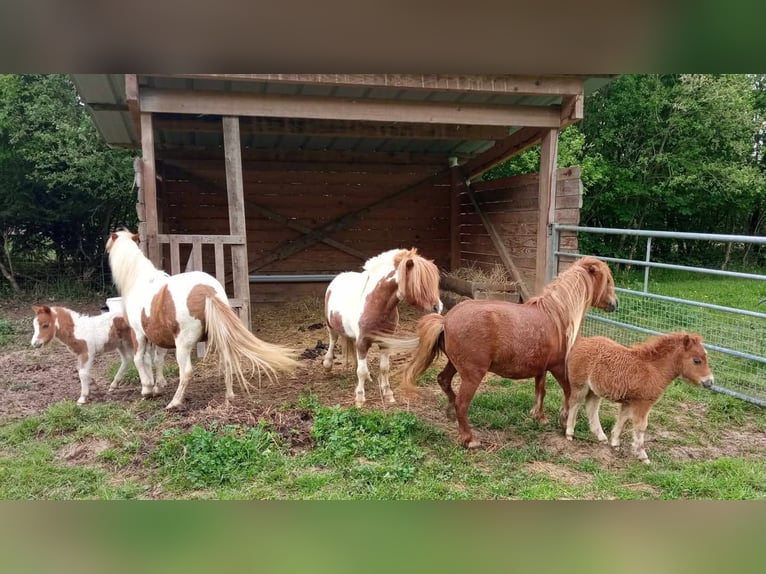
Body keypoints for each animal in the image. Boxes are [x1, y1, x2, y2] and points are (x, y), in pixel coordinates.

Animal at [30, 305, 167, 404]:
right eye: (34, 325)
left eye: (45, 325)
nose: (34, 343)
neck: (77, 330)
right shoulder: (80, 355)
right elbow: (81, 371)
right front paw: (93, 385)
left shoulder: (87, 352)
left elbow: (82, 373)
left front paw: (82, 398)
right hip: (123, 344)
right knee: (131, 359)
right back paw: (115, 385)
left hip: (135, 341)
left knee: (143, 359)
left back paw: (149, 387)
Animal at [106, 229, 298, 409]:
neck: (140, 281)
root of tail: (207, 291)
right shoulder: (158, 336)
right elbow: (157, 360)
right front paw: (158, 387)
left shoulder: (138, 334)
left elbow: (139, 359)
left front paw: (147, 390)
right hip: (219, 339)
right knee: (227, 363)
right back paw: (229, 396)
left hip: (183, 345)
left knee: (186, 372)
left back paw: (175, 402)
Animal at [323, 247, 442, 407]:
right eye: (420, 283)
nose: (438, 307)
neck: (376, 304)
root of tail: (339, 276)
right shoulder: (363, 341)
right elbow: (361, 371)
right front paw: (360, 398)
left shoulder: (386, 342)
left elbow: (384, 368)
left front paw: (388, 394)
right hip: (330, 324)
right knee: (333, 339)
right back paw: (328, 364)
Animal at [381, 256, 618, 448]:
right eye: (607, 281)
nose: (615, 304)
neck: (557, 315)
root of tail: (446, 320)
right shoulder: (558, 367)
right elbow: (569, 393)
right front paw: (564, 420)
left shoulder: (541, 368)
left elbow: (541, 391)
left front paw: (539, 417)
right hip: (473, 375)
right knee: (461, 403)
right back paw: (469, 439)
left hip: (455, 366)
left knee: (444, 381)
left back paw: (451, 414)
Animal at [565, 332, 714, 464]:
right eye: (697, 360)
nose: (710, 382)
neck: (654, 369)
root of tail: (581, 341)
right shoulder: (643, 403)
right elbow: (641, 426)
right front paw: (642, 456)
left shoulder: (629, 401)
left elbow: (623, 420)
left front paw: (615, 443)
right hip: (580, 385)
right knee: (574, 403)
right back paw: (569, 433)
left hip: (594, 390)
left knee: (592, 407)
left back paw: (601, 437)